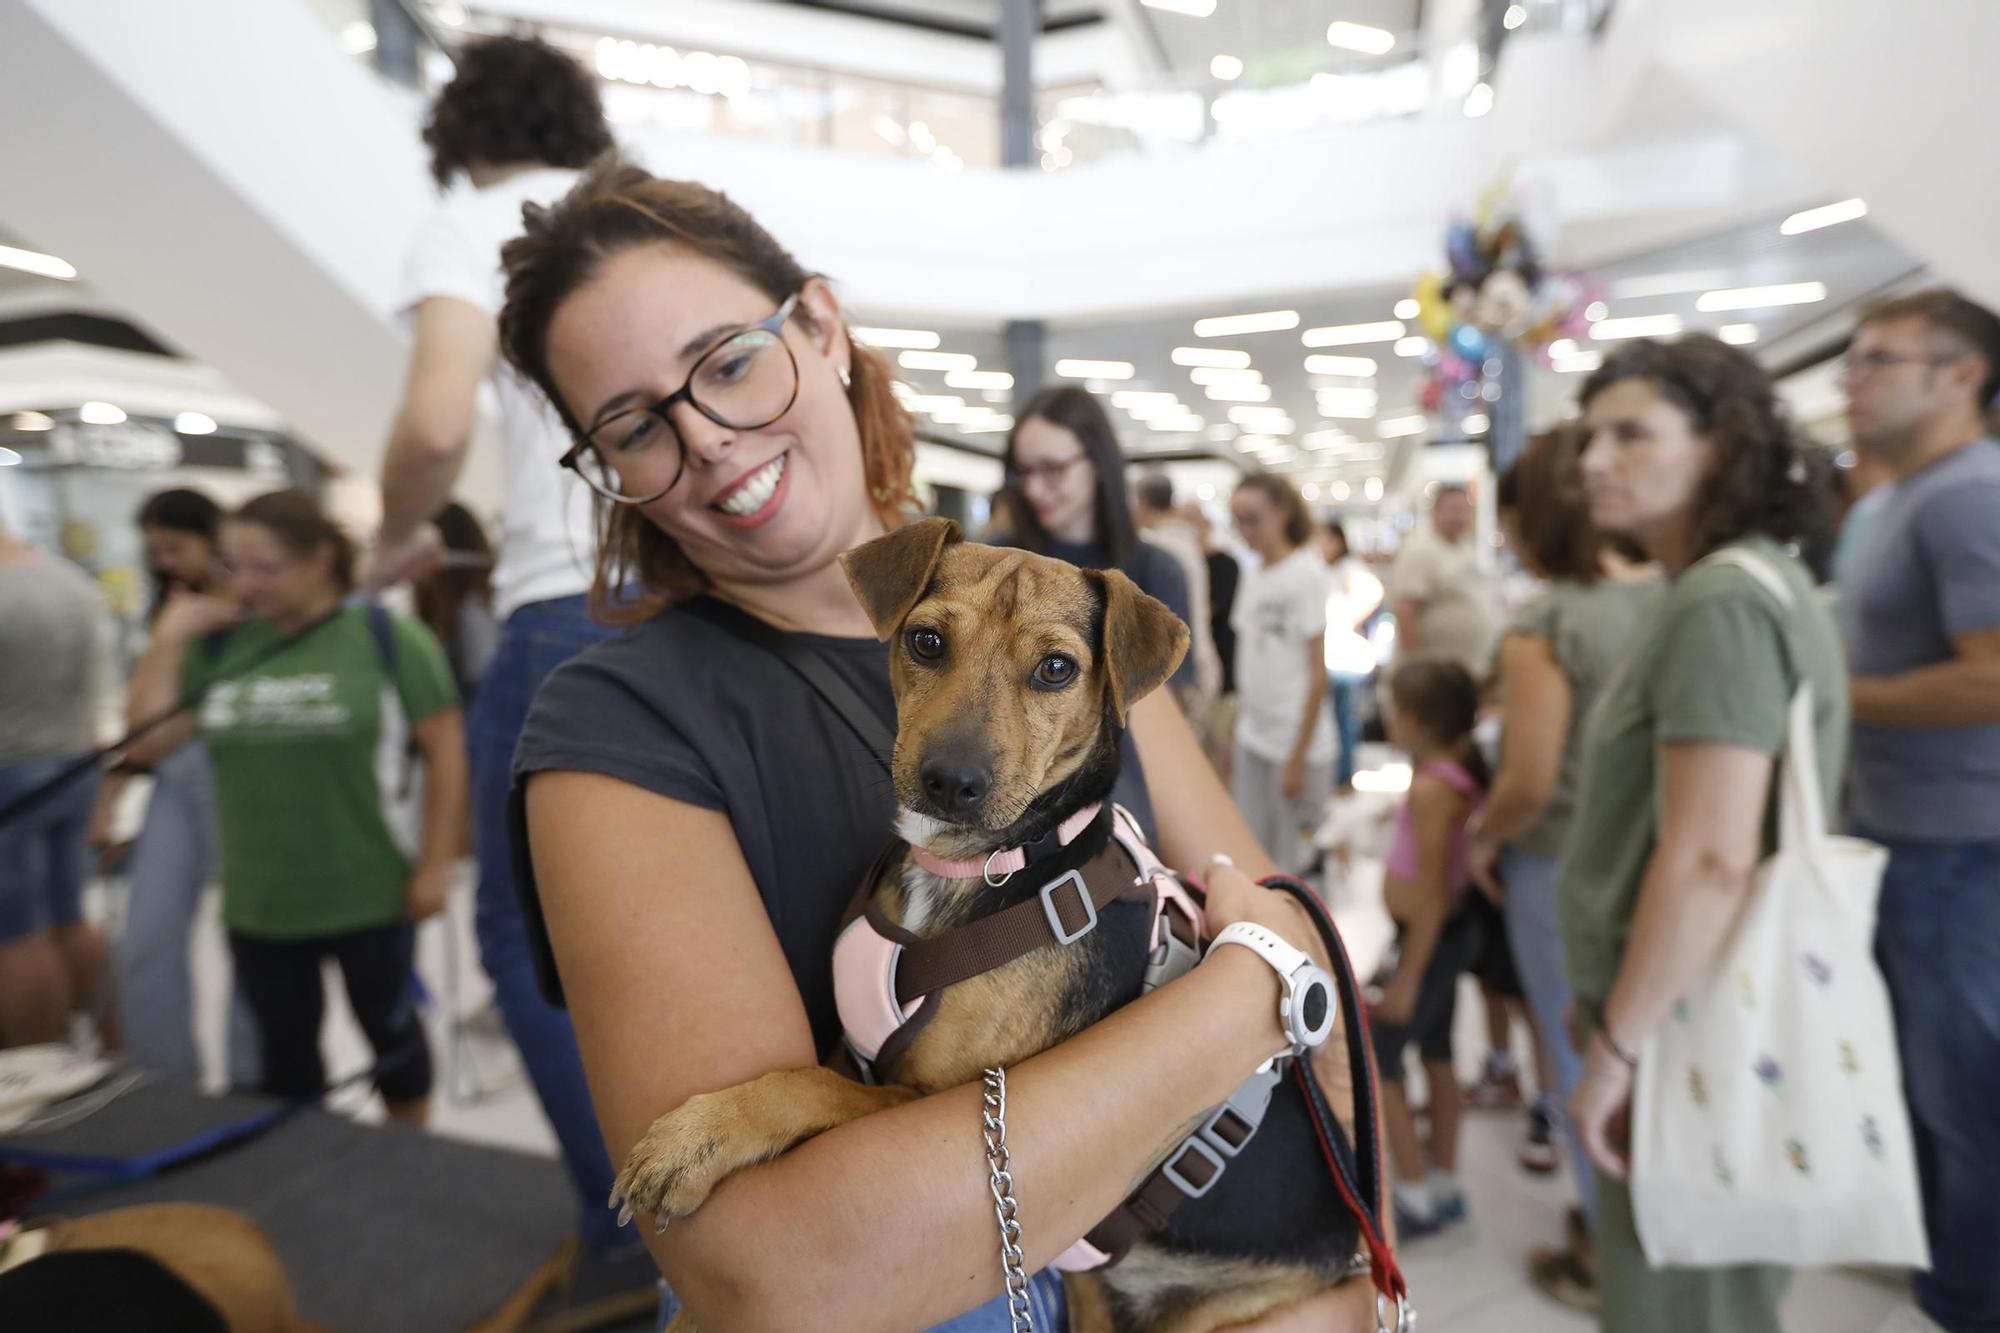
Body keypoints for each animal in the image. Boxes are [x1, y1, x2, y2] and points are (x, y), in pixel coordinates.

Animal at [608, 520, 1360, 1328]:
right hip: (1094, 1295)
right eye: (927, 641)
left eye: (1057, 668)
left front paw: (701, 1138)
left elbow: (808, 1086)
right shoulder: (858, 1052)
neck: (975, 868)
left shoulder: (921, 1095)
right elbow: (814, 1073)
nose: (950, 781)